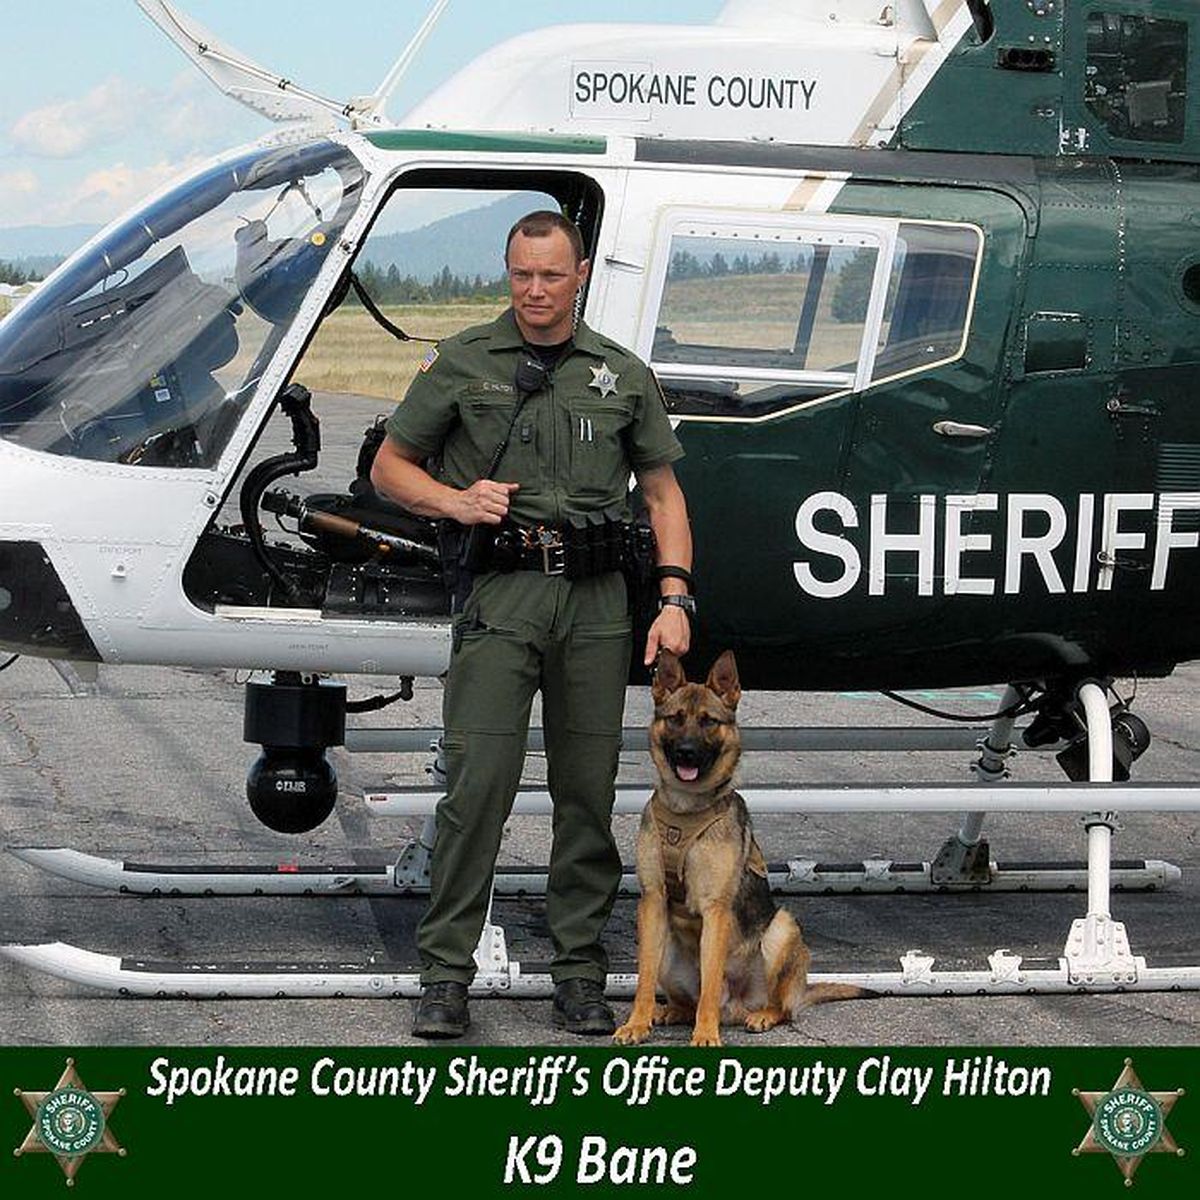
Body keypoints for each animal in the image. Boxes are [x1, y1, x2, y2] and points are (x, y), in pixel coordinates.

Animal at [614, 652, 859, 1046]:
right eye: (675, 718)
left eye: (709, 722)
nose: (686, 752)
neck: (686, 810)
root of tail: (737, 1007)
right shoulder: (652, 901)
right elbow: (644, 977)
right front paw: (637, 1022)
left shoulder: (716, 910)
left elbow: (712, 981)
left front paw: (705, 1034)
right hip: (668, 950)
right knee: (685, 999)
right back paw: (666, 1011)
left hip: (782, 929)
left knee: (780, 1007)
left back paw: (759, 1016)